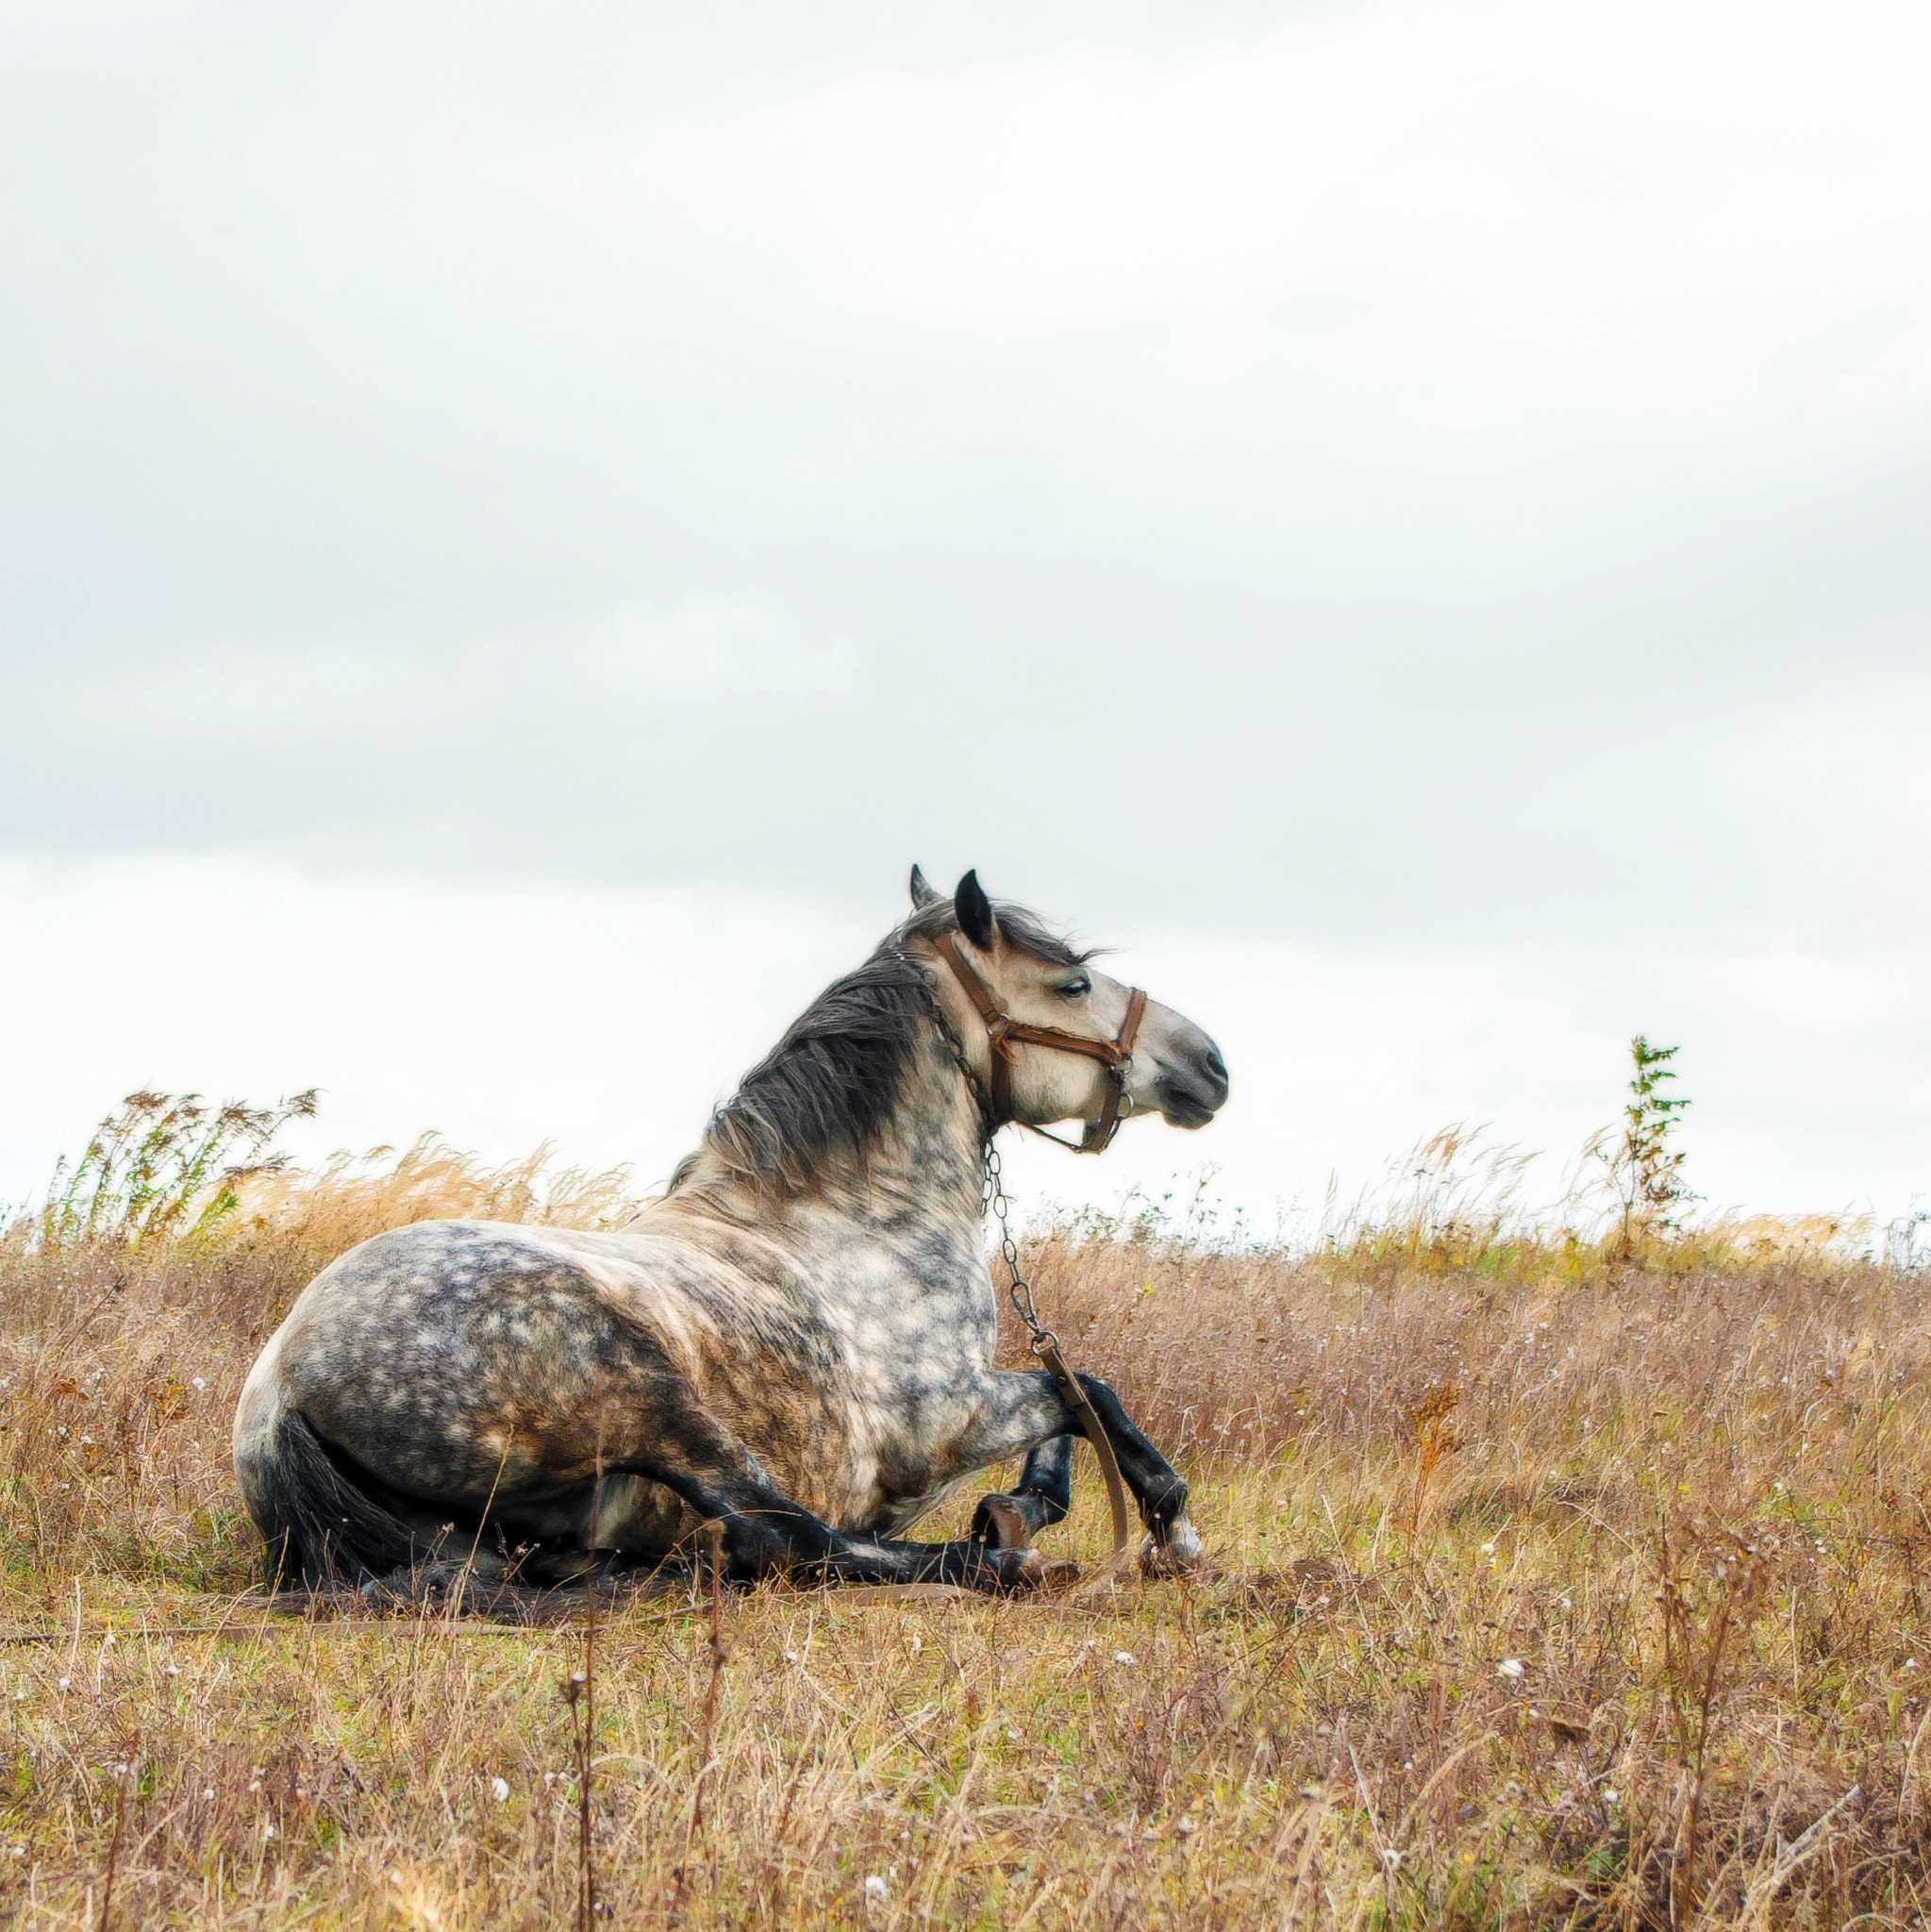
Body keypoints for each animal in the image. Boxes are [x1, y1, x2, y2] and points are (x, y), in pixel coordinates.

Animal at [232, 868, 1230, 1598]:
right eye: (1072, 982)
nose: (1210, 1065)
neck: (852, 1216)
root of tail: (280, 1392)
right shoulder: (945, 1424)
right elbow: (1087, 1394)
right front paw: (1166, 1530)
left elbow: (1069, 1406)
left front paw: (1022, 1505)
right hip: (647, 1394)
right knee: (777, 1535)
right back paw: (993, 1564)